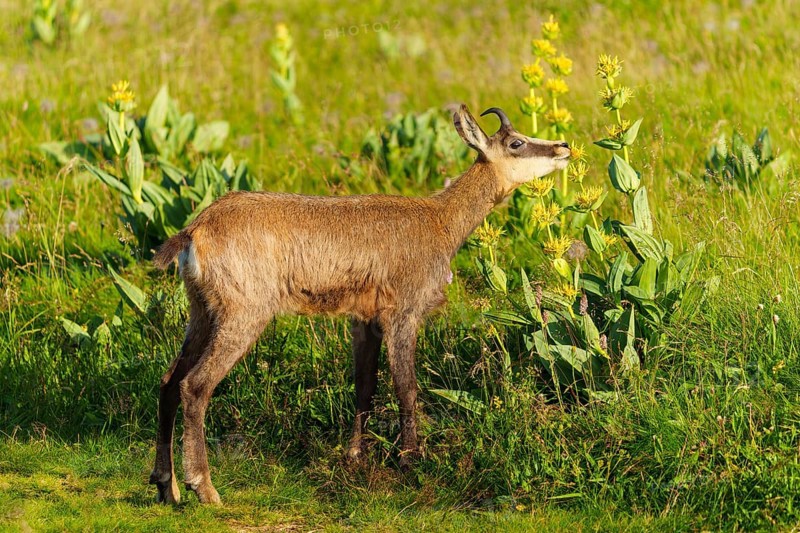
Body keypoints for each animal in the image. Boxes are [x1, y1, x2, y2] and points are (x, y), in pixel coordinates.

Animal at [148, 104, 571, 504]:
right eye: (516, 142)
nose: (563, 147)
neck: (439, 222)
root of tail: (194, 231)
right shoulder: (403, 314)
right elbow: (406, 386)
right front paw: (410, 461)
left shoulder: (364, 319)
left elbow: (365, 384)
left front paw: (354, 456)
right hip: (242, 314)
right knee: (194, 386)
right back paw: (204, 488)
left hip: (202, 313)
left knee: (168, 382)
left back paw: (166, 486)